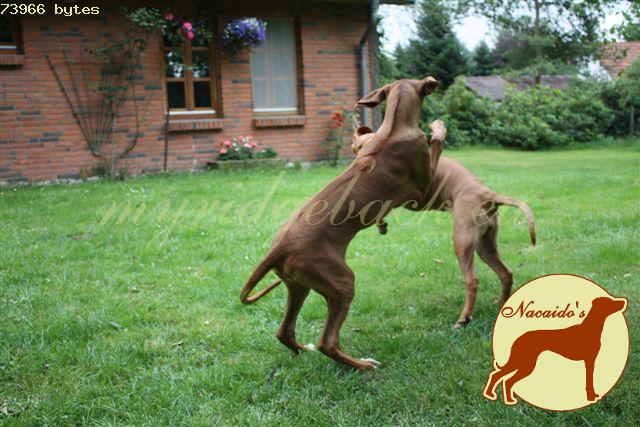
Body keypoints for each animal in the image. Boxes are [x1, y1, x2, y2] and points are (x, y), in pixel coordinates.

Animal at [240, 78, 444, 370]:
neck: (393, 127)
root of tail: (279, 248)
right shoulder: (421, 193)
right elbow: (436, 145)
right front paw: (438, 128)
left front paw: (382, 225)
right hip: (342, 282)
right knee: (328, 343)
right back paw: (363, 365)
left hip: (299, 284)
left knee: (285, 332)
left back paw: (305, 350)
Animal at [352, 127, 536, 328]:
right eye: (358, 146)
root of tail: (488, 195)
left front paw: (380, 224)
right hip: (485, 247)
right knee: (506, 273)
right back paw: (501, 303)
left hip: (462, 243)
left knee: (472, 280)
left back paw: (464, 318)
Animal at [482, 296, 627, 405]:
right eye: (610, 301)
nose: (624, 302)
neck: (591, 328)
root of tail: (518, 338)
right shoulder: (589, 360)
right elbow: (589, 381)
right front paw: (591, 397)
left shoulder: (590, 361)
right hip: (524, 363)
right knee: (500, 377)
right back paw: (495, 396)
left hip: (524, 362)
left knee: (504, 379)